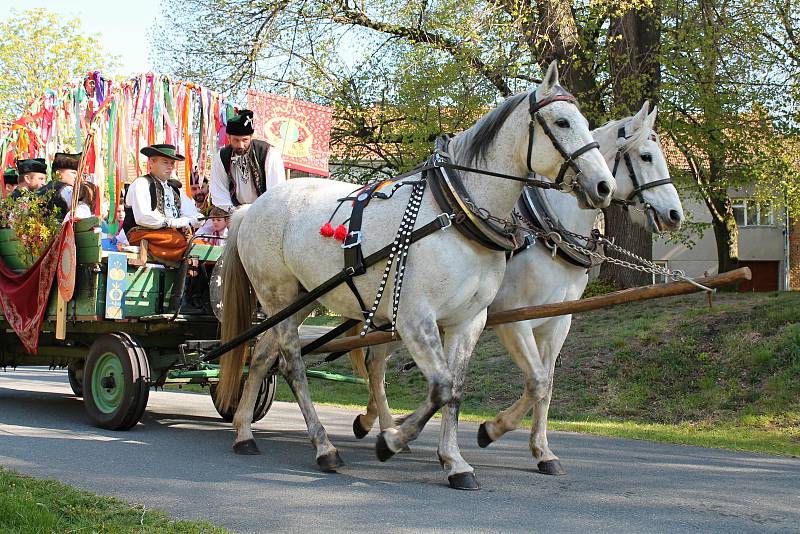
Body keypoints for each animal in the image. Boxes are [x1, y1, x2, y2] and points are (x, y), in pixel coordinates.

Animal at [216, 62, 616, 490]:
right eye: (561, 122)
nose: (603, 186)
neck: (455, 211)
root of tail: (253, 207)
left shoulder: (468, 320)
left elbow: (456, 389)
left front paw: (454, 459)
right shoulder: (415, 317)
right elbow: (440, 387)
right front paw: (392, 440)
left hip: (300, 300)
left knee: (262, 356)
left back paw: (244, 432)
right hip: (277, 295)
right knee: (292, 364)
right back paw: (324, 447)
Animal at [350, 99, 680, 482]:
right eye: (646, 156)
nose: (675, 214)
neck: (547, 229)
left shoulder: (557, 321)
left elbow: (546, 385)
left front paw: (542, 451)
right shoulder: (513, 318)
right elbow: (535, 380)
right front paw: (491, 430)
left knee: (377, 363)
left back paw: (382, 422)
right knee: (375, 364)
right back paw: (384, 425)